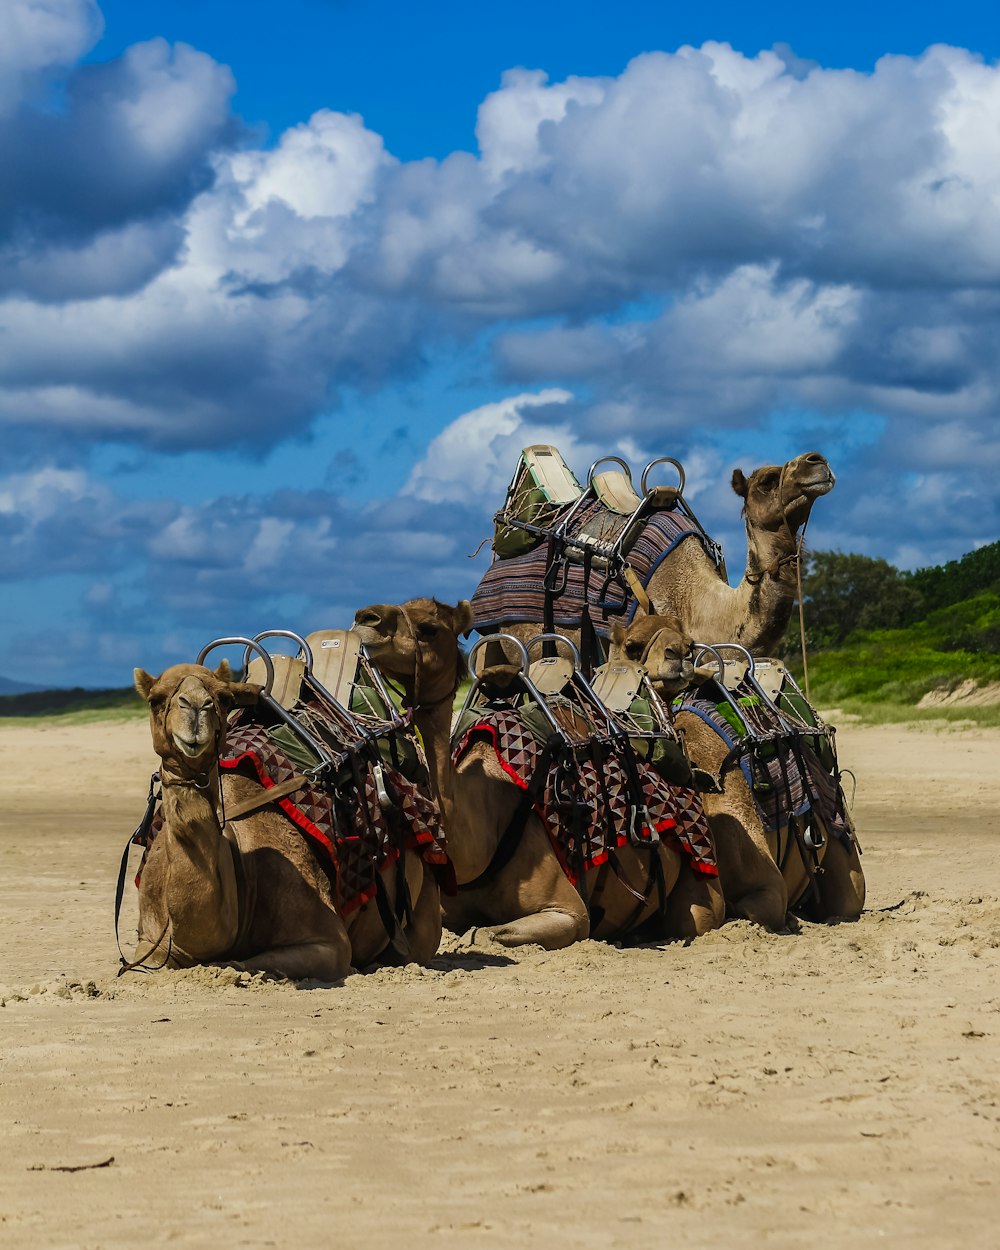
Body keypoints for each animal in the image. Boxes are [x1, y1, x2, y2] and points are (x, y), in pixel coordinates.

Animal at [128, 660, 442, 980]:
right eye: (155, 699)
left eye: (224, 698)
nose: (195, 707)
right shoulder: (151, 940)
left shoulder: (329, 942)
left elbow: (242, 963)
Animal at [347, 600, 725, 950]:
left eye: (429, 628)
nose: (366, 617)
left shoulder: (570, 912)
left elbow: (484, 934)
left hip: (702, 882)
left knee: (693, 918)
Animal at [605, 615, 865, 930]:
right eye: (631, 646)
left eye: (689, 642)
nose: (678, 653)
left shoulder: (766, 885)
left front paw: (789, 918)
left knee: (847, 897)